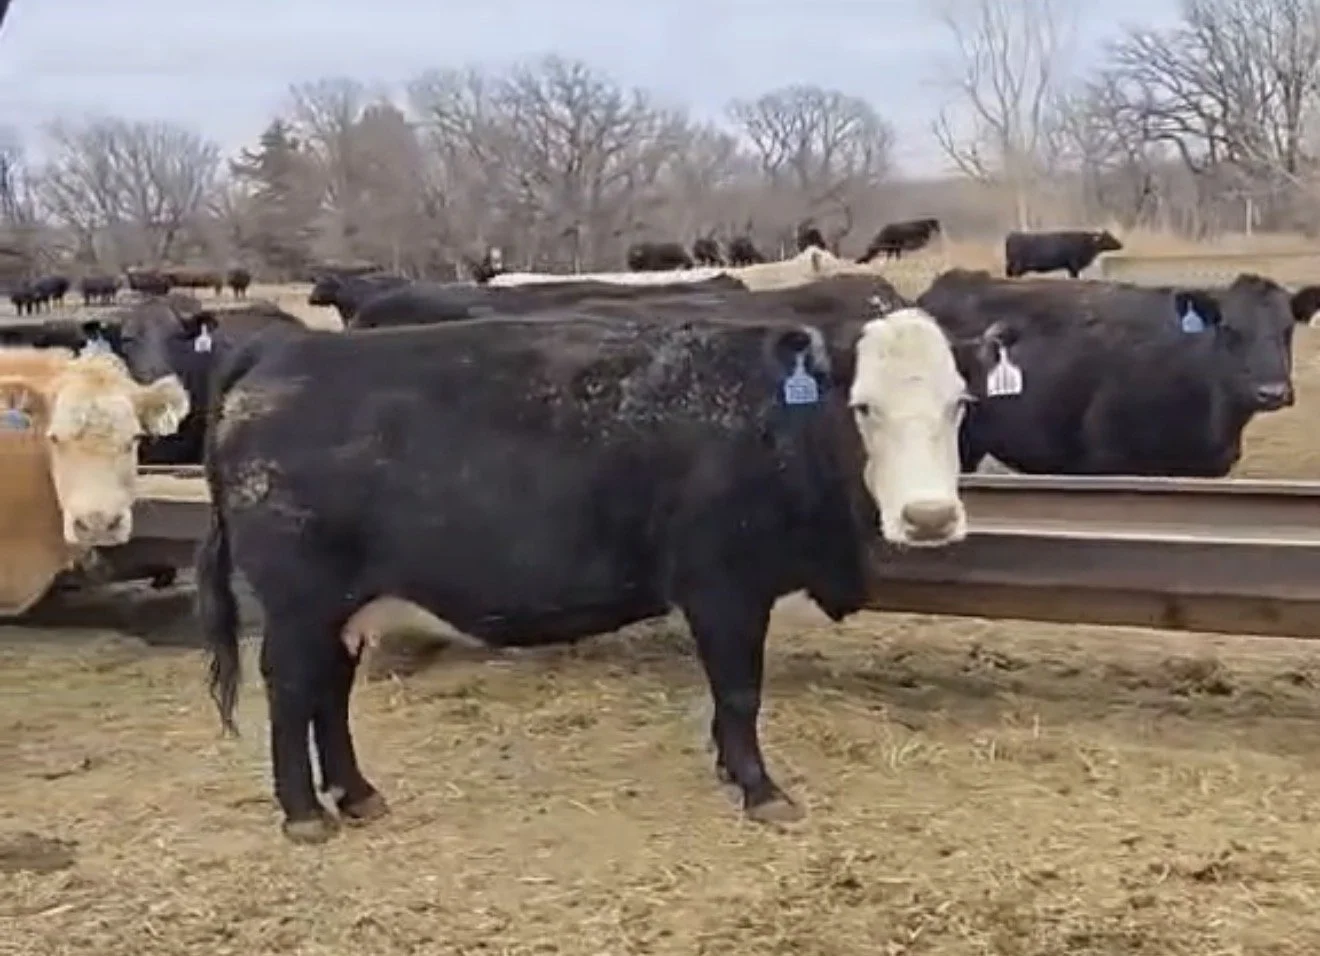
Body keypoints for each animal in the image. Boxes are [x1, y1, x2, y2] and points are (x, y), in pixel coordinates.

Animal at [197, 300, 1002, 843]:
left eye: (959, 402)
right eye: (863, 406)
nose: (930, 518)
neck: (770, 424)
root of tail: (284, 353)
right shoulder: (724, 586)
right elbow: (740, 693)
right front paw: (760, 790)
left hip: (345, 605)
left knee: (329, 693)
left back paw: (358, 794)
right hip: (300, 602)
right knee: (293, 689)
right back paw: (304, 814)